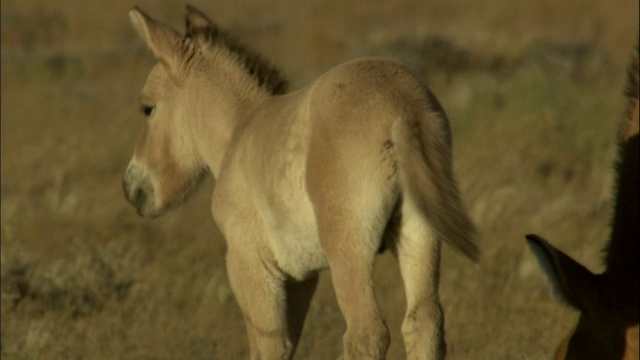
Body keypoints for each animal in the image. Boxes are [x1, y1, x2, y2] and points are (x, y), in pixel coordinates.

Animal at [122, 6, 478, 360]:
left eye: (147, 108)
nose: (131, 189)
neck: (240, 130)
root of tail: (403, 105)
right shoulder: (300, 278)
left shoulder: (249, 264)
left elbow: (269, 346)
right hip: (418, 235)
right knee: (424, 322)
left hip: (348, 246)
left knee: (366, 333)